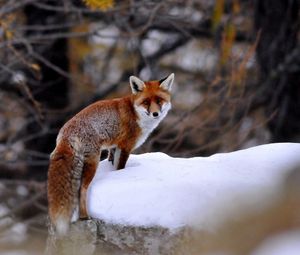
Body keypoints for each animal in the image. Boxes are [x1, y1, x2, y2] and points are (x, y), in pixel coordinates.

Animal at [46, 72, 173, 235]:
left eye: (159, 100)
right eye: (146, 102)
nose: (155, 113)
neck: (135, 113)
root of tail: (65, 132)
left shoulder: (114, 146)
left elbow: (112, 162)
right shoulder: (125, 147)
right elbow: (120, 168)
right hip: (93, 162)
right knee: (82, 189)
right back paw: (84, 217)